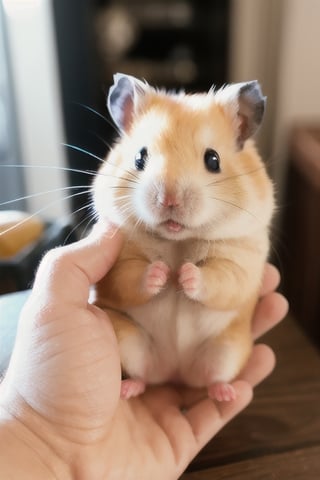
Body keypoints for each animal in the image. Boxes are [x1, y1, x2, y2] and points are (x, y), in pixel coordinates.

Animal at [92, 72, 276, 402]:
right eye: (139, 157)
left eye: (213, 160)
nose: (169, 200)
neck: (178, 241)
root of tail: (175, 372)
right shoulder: (120, 261)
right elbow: (130, 276)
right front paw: (163, 273)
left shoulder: (239, 261)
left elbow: (218, 279)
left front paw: (184, 275)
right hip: (128, 340)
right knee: (144, 375)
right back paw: (128, 389)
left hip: (227, 351)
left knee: (211, 378)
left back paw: (225, 394)